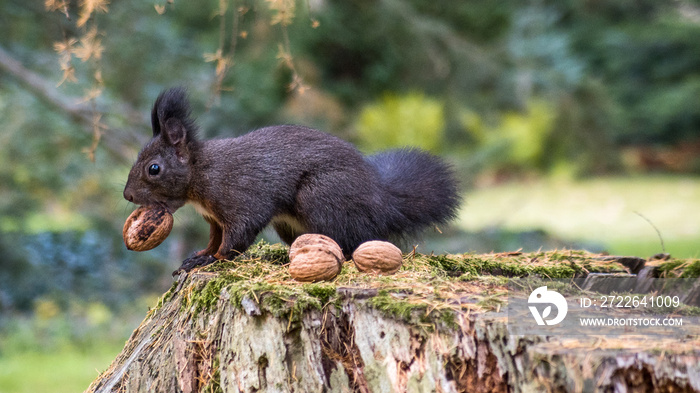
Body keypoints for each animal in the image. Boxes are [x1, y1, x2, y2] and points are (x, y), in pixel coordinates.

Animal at [123, 87, 462, 274]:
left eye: (154, 168)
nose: (127, 195)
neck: (201, 172)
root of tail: (382, 200)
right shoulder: (214, 219)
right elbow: (215, 238)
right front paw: (201, 255)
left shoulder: (240, 199)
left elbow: (236, 238)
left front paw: (211, 261)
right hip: (291, 225)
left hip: (321, 196)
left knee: (353, 241)